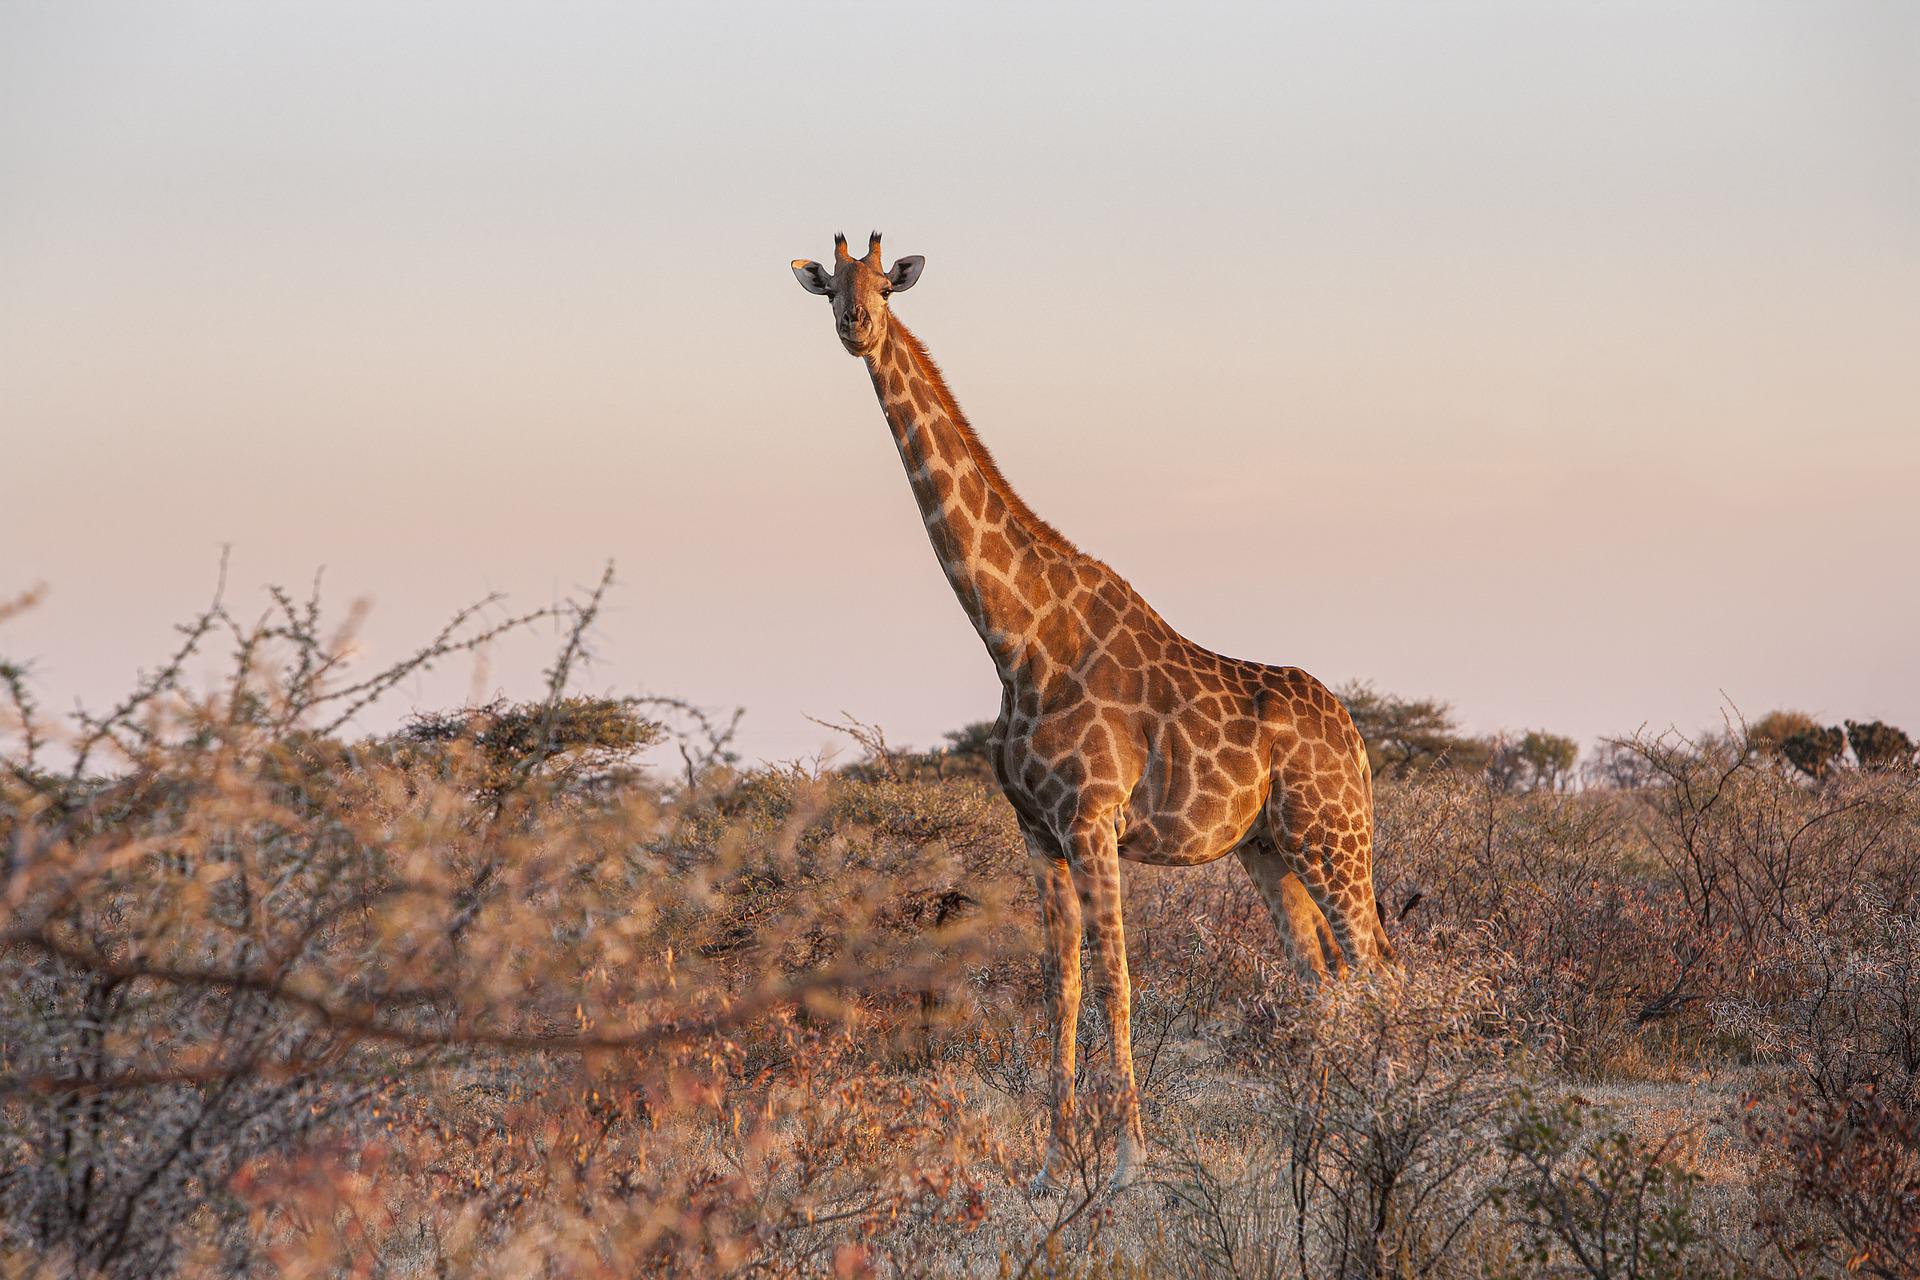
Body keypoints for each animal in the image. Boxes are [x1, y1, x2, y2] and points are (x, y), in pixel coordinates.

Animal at [790, 232, 1395, 1193]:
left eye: (884, 283)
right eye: (830, 286)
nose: (856, 325)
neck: (1017, 635)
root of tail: (1359, 741)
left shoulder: (1093, 820)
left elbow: (1116, 979)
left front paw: (1126, 1162)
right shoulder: (1037, 830)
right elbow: (1059, 983)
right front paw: (1050, 1163)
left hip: (1334, 836)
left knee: (1377, 971)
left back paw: (1387, 1128)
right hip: (1269, 849)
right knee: (1324, 977)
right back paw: (1321, 1144)